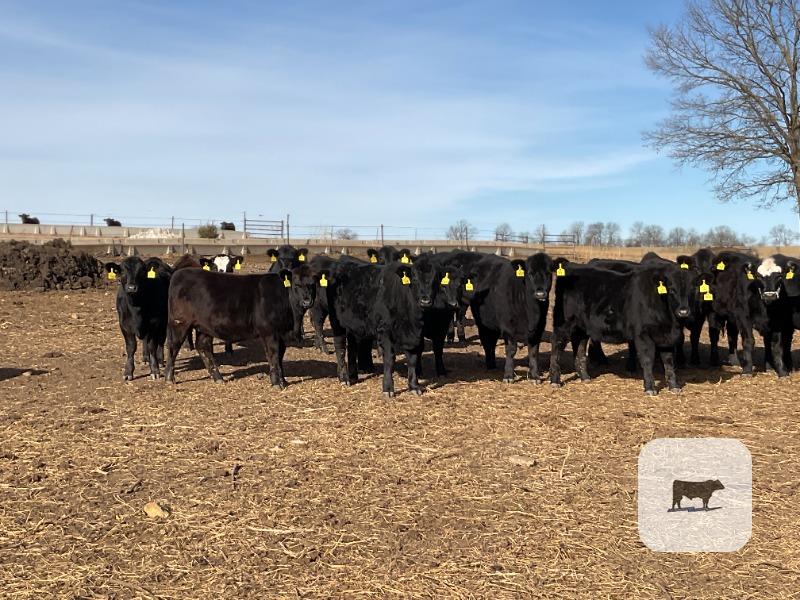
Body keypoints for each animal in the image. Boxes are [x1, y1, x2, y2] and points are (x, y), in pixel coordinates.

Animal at [164, 265, 320, 387]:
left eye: (313, 284)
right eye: (296, 284)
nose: (307, 301)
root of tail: (179, 273)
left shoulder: (281, 333)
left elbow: (280, 356)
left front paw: (283, 380)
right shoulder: (269, 331)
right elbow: (274, 355)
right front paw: (277, 383)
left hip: (204, 326)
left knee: (203, 347)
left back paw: (218, 378)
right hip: (179, 324)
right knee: (173, 347)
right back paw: (169, 378)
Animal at [328, 260, 437, 397]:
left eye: (435, 279)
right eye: (415, 278)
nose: (425, 301)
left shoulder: (414, 335)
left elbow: (412, 359)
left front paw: (414, 386)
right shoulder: (384, 331)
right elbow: (389, 359)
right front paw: (388, 388)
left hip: (353, 325)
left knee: (352, 348)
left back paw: (353, 376)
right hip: (336, 321)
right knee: (340, 347)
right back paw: (343, 378)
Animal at [550, 262, 704, 395]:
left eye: (693, 289)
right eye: (671, 289)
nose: (683, 311)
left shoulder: (666, 338)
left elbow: (669, 362)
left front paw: (674, 386)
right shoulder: (642, 335)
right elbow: (647, 360)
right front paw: (650, 388)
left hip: (582, 327)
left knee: (580, 349)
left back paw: (585, 377)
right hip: (563, 323)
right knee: (556, 346)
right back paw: (555, 380)